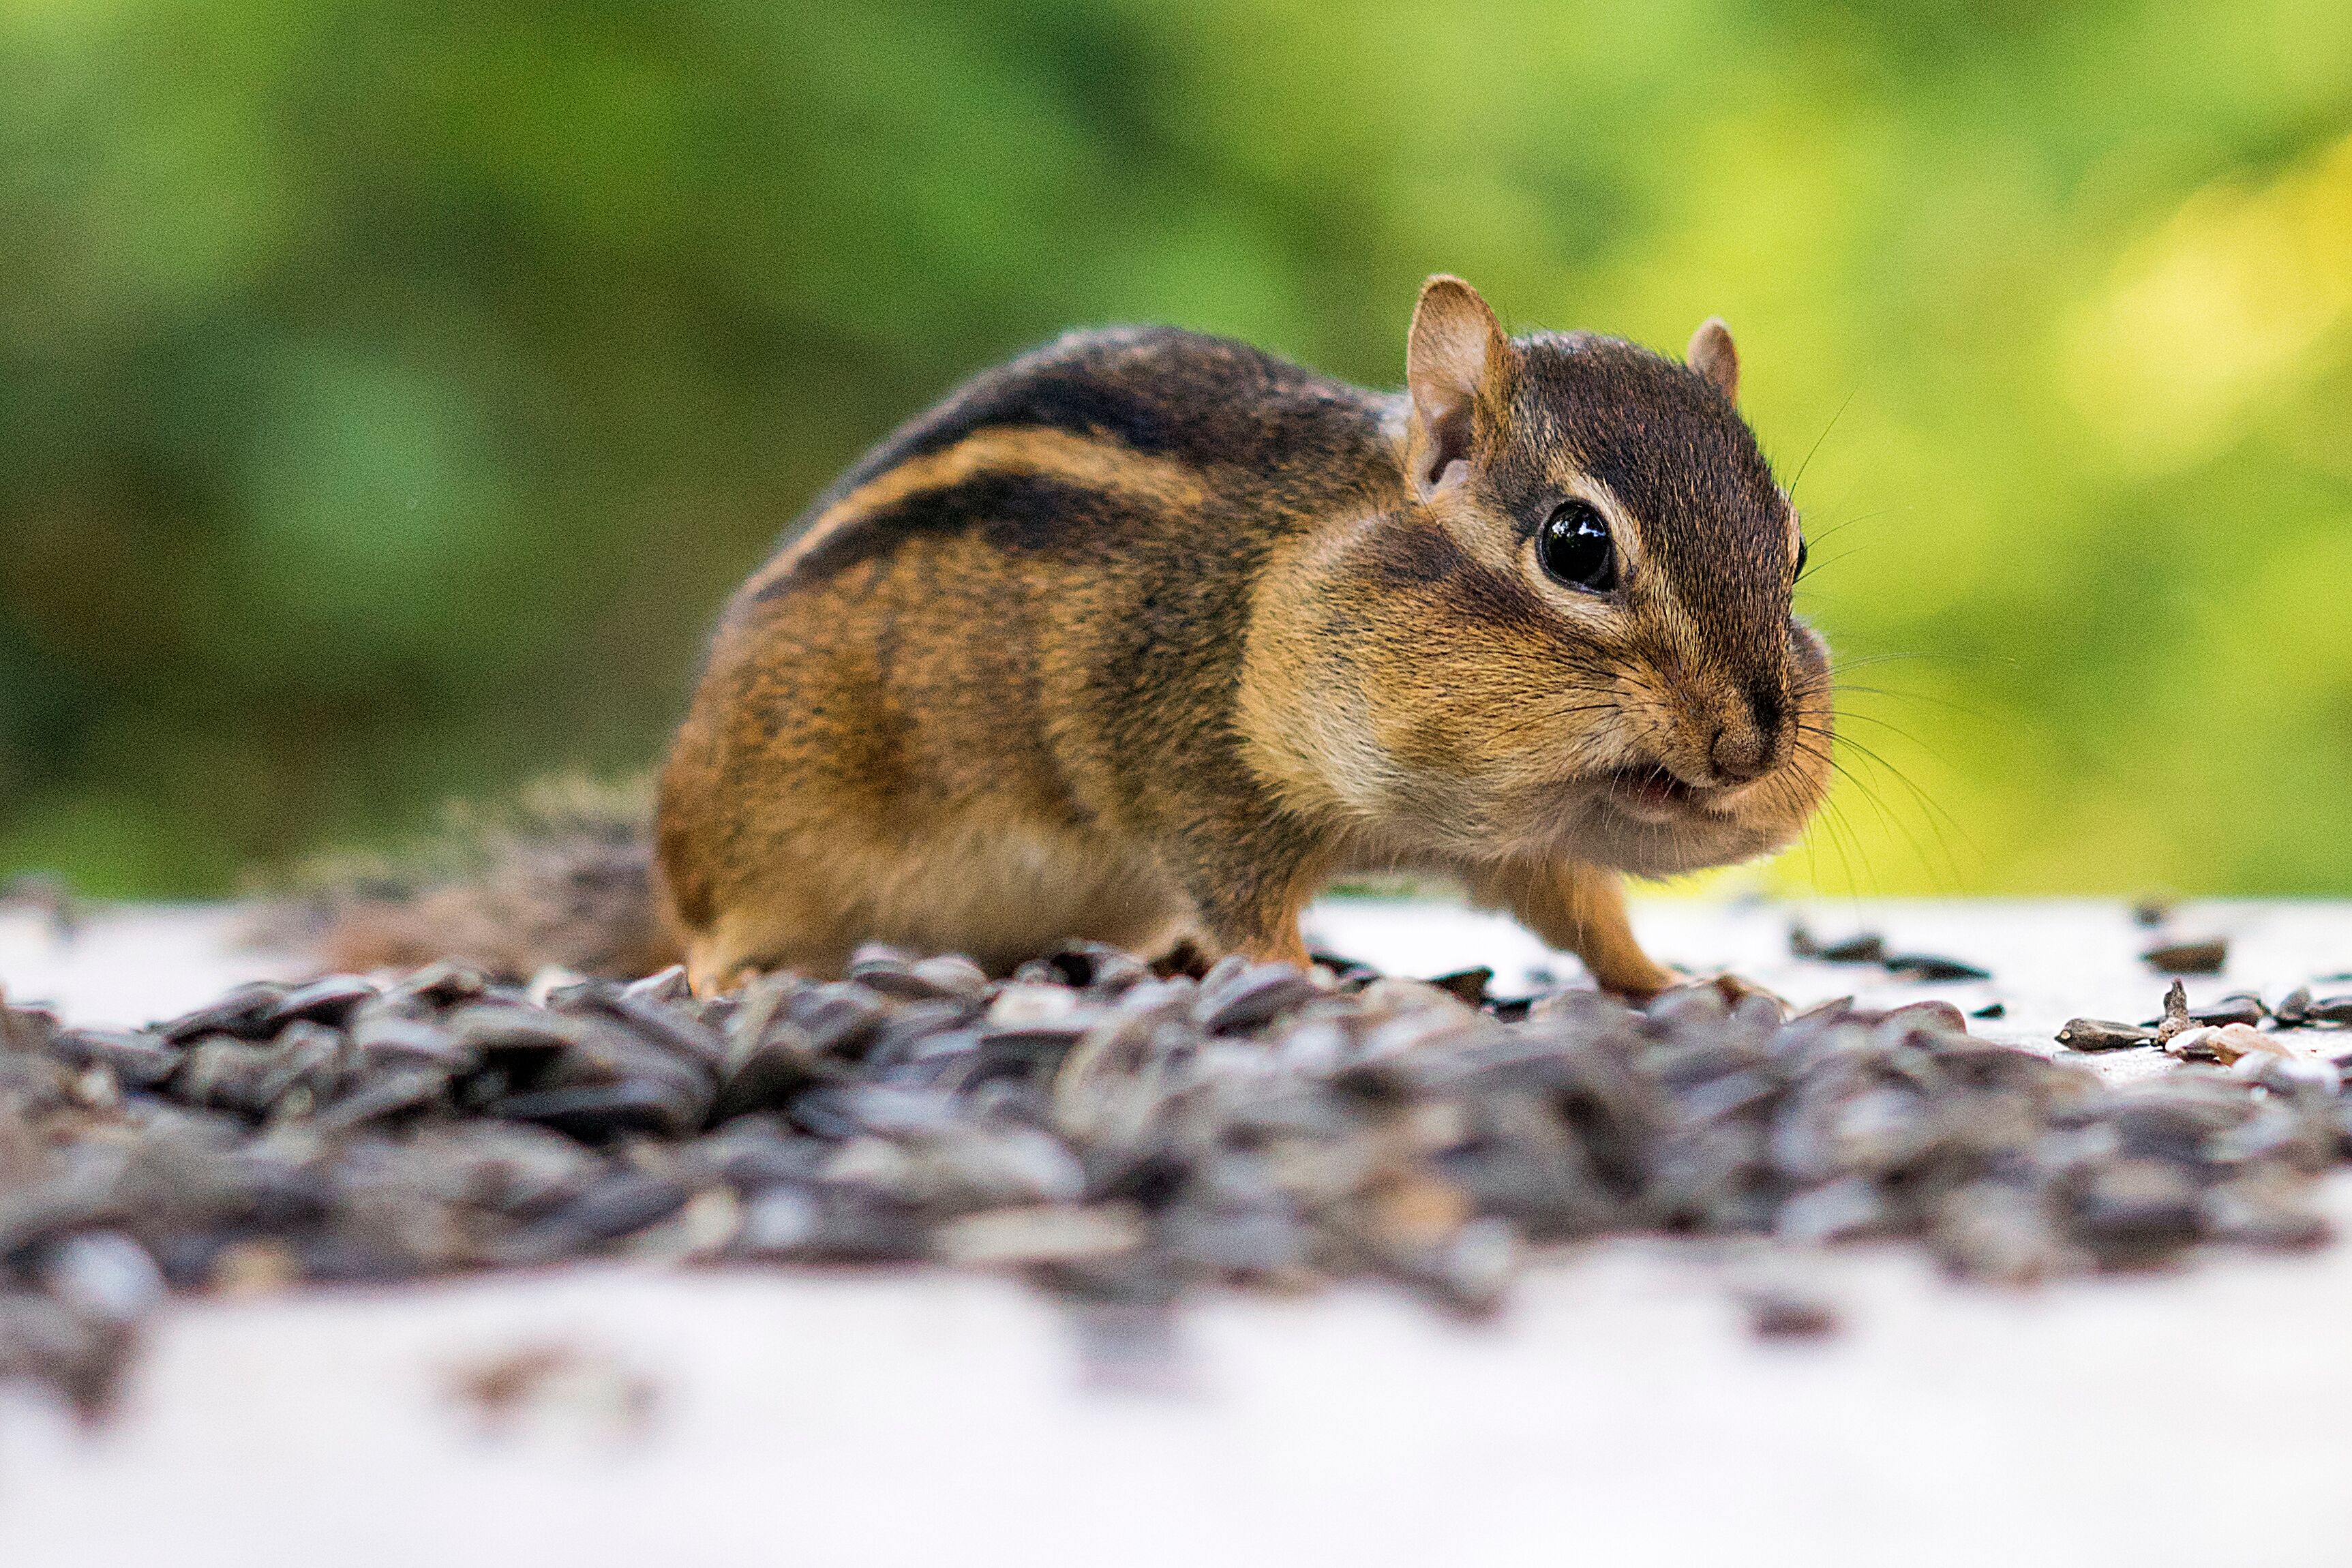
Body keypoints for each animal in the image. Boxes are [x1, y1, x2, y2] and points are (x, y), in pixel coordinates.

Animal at [652, 275, 1833, 997]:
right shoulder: (1200, 771)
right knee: (709, 930)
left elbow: (1586, 916)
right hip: (761, 839)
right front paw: (1305, 987)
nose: (1746, 750)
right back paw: (729, 976)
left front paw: (1684, 981)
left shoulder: (1518, 849)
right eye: (1575, 545)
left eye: (1796, 552)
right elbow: (1244, 904)